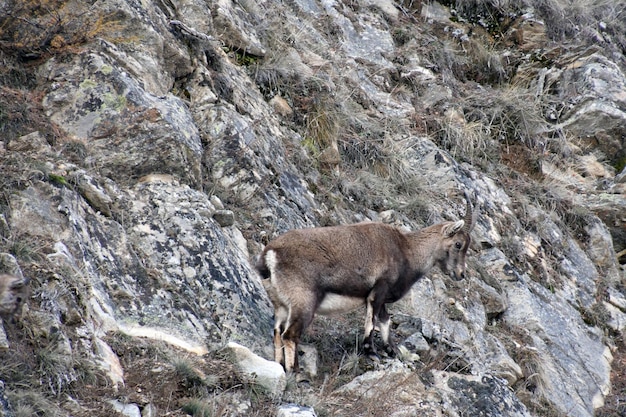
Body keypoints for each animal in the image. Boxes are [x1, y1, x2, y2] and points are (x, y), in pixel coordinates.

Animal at [255, 192, 478, 370]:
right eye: (458, 244)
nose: (460, 274)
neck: (407, 251)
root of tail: (270, 255)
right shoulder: (378, 291)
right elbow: (372, 322)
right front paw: (371, 352)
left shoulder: (383, 299)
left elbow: (386, 321)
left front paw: (392, 349)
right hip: (303, 302)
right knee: (290, 335)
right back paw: (296, 372)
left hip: (281, 305)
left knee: (277, 332)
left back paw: (279, 366)